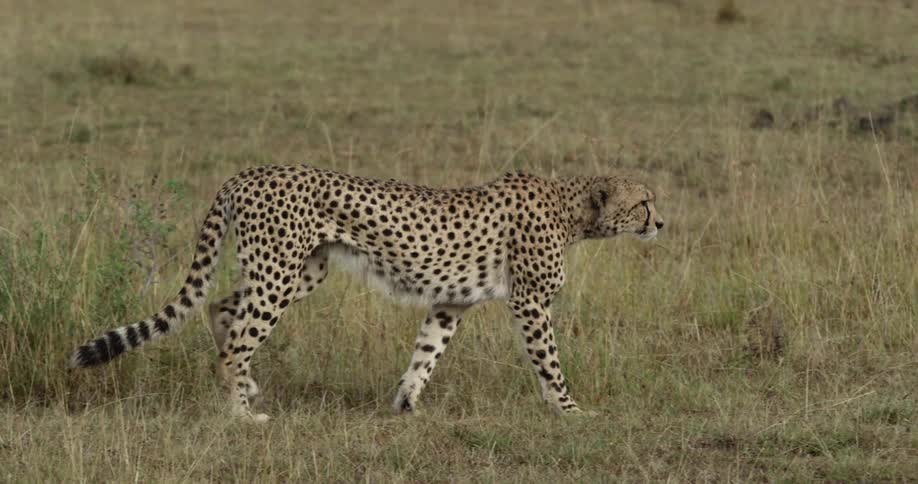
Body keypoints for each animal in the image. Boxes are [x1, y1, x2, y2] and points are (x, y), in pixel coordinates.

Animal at [70, 164, 664, 422]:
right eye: (643, 202)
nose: (661, 222)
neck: (573, 211)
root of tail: (247, 173)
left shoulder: (450, 301)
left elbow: (426, 353)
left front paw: (405, 403)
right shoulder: (531, 302)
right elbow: (549, 361)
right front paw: (570, 409)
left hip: (300, 273)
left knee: (221, 307)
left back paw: (245, 386)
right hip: (279, 273)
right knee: (238, 334)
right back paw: (241, 410)